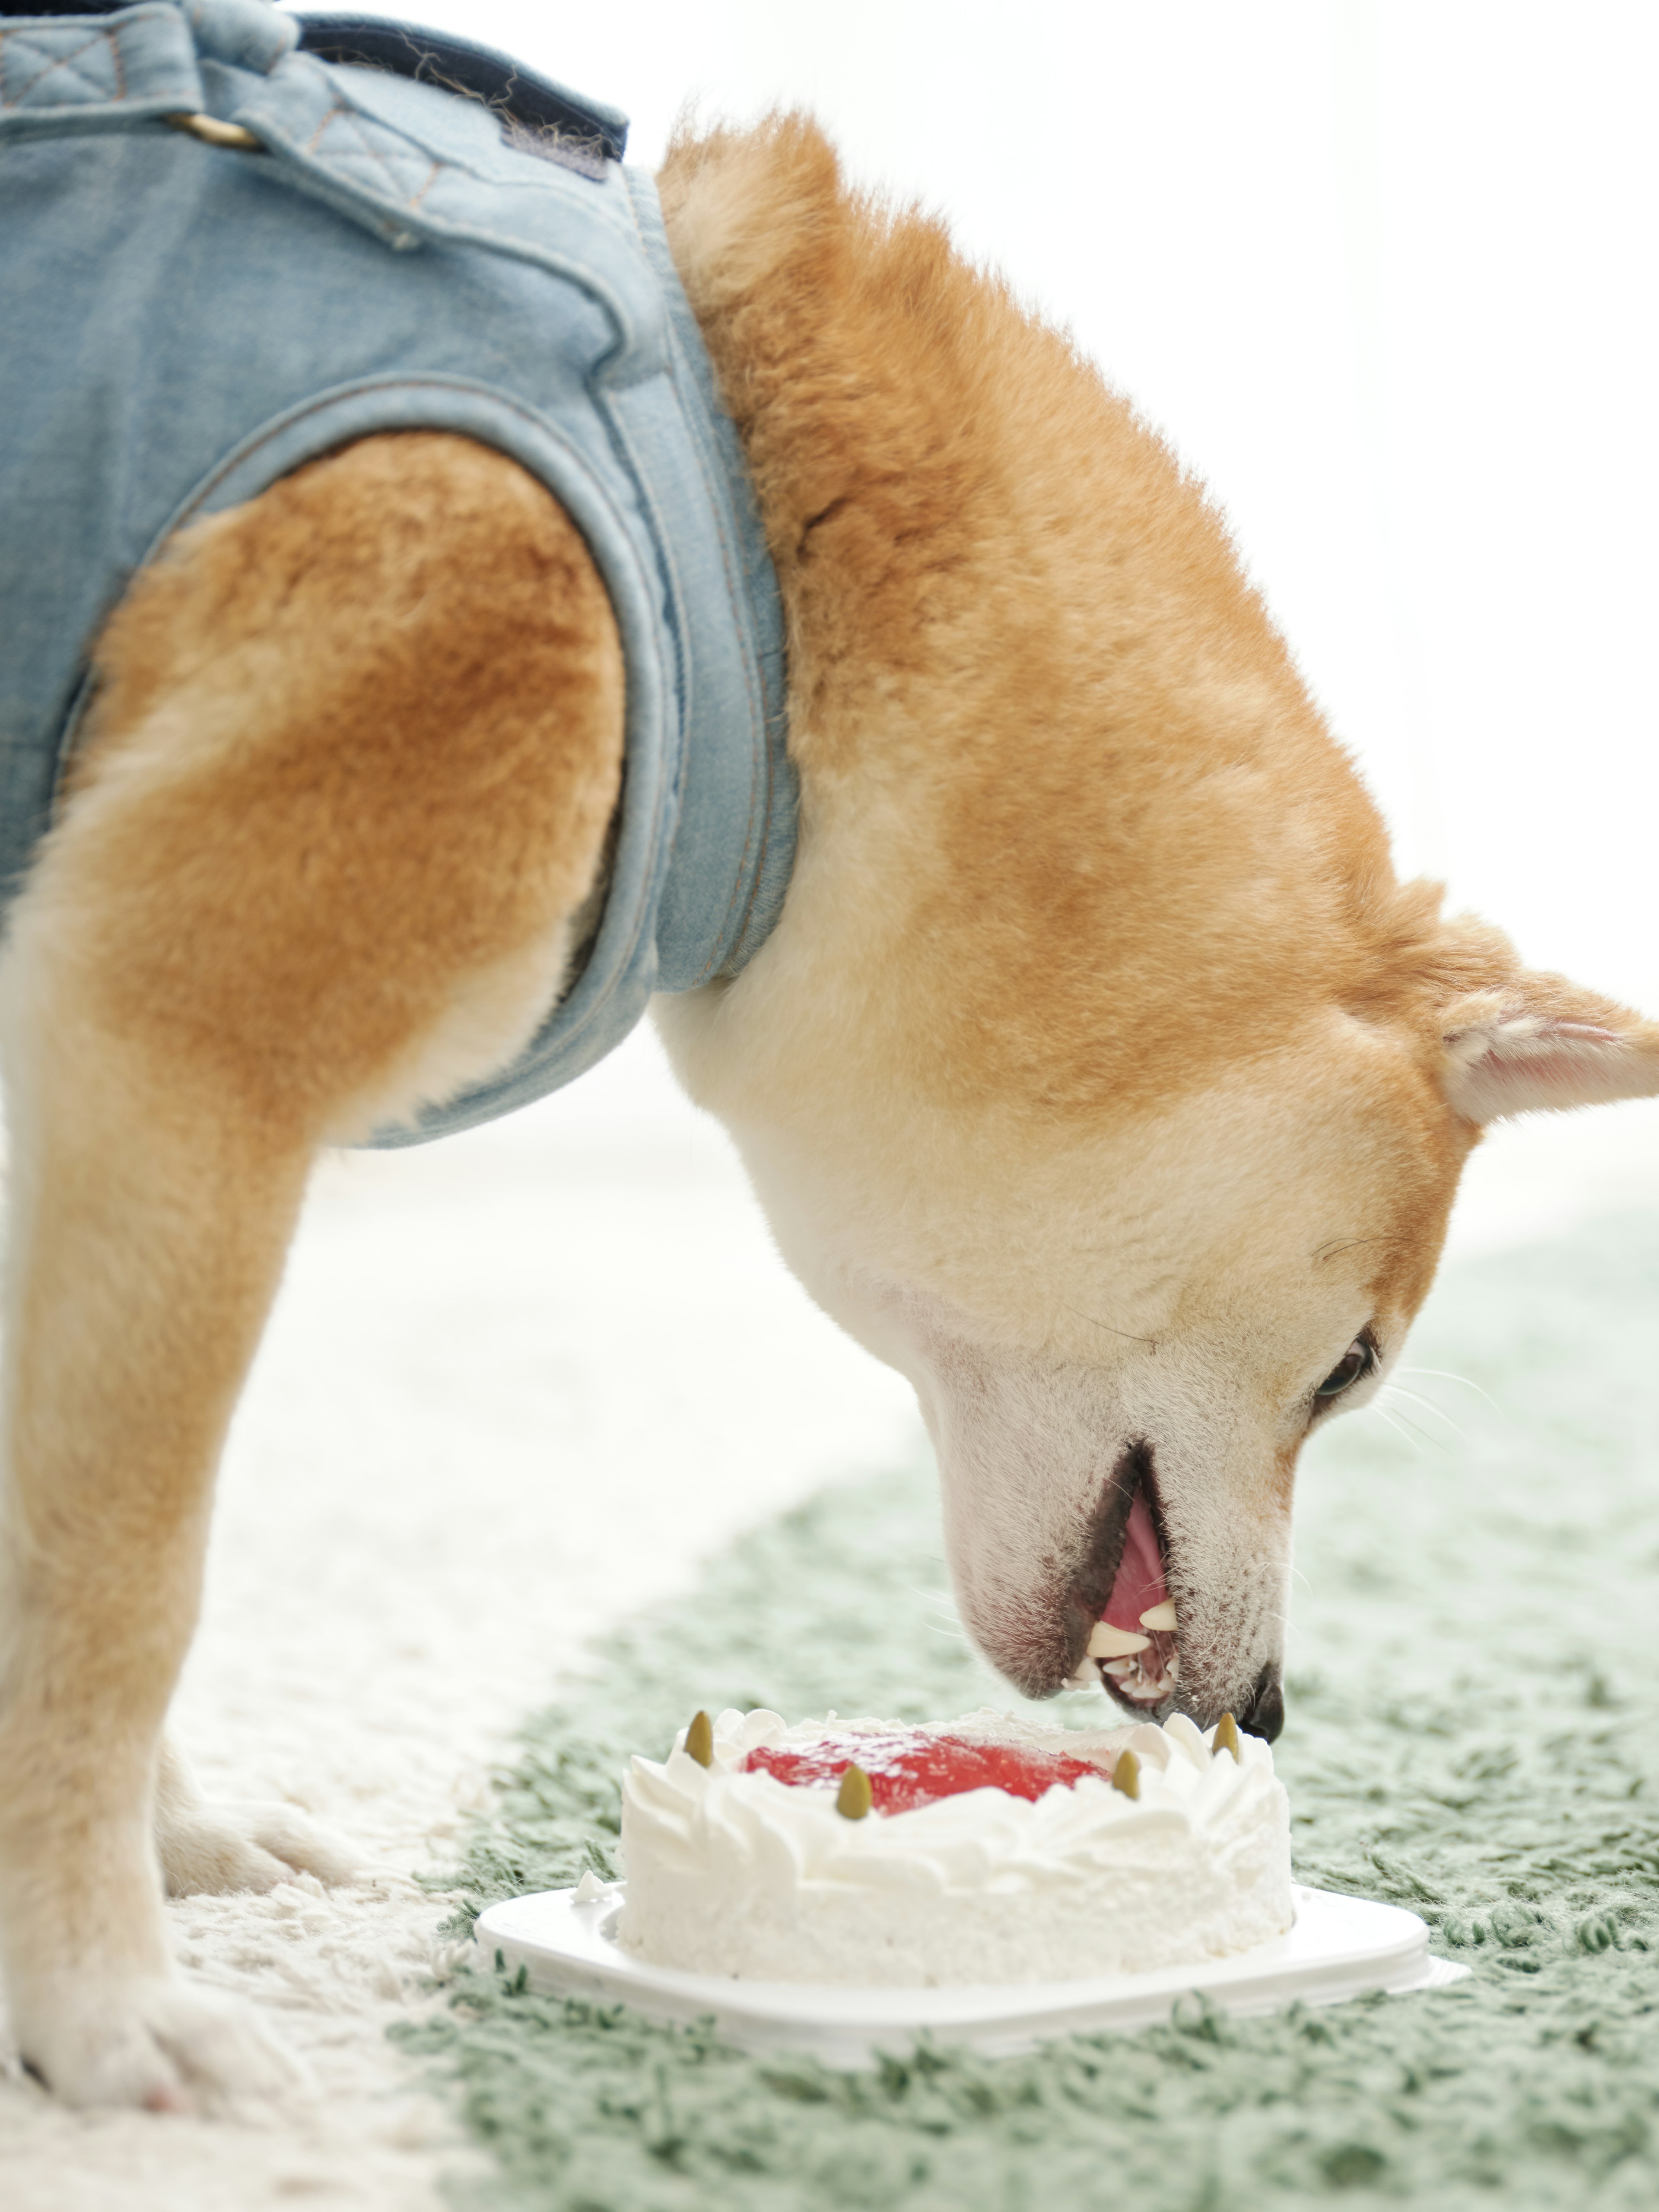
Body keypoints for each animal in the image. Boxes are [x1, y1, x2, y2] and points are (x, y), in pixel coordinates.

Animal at [3, 52, 1659, 2106]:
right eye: (1352, 1367)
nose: (1270, 1707)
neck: (750, 557)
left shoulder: (97, 1102)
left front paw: (176, 1843)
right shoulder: (177, 1057)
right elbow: (113, 1578)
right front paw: (93, 1991)